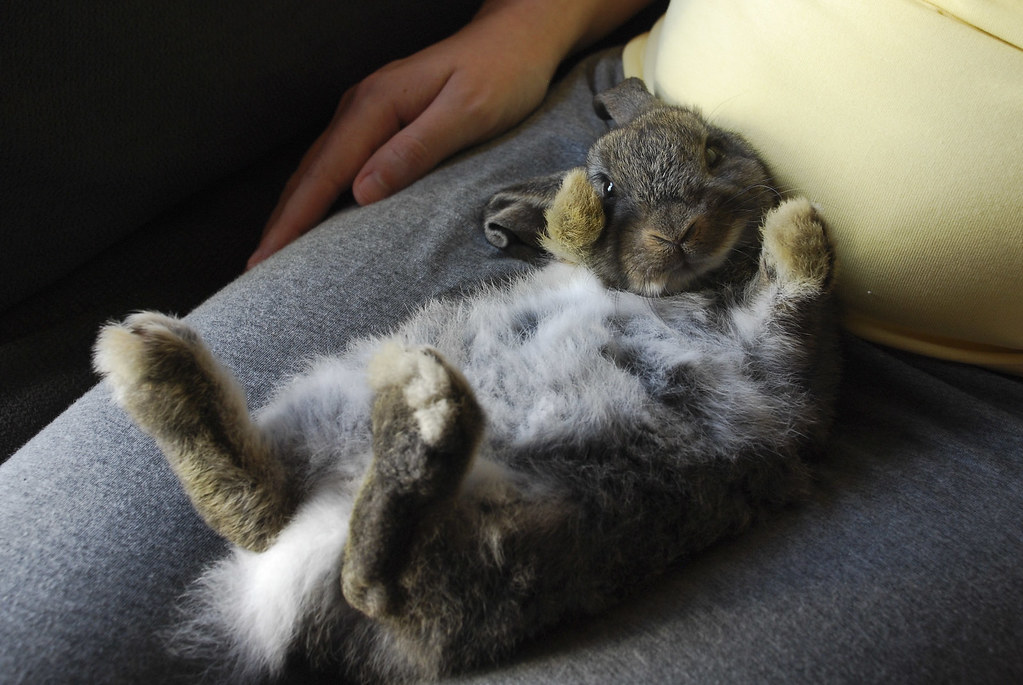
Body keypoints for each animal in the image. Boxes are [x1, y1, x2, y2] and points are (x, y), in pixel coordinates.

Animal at [93, 78, 839, 683]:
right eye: (608, 184)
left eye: (713, 152)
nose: (679, 232)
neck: (691, 286)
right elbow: (587, 248)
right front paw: (575, 206)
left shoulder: (776, 368)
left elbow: (793, 297)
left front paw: (799, 226)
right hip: (329, 409)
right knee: (276, 517)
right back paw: (158, 360)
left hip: (501, 551)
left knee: (361, 576)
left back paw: (421, 419)